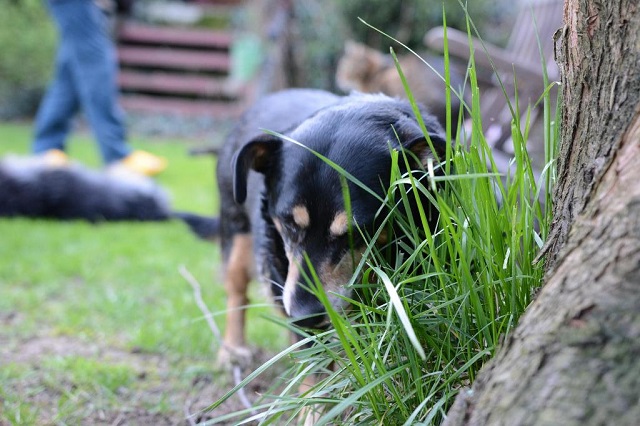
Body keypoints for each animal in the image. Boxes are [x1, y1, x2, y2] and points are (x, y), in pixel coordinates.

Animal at [215, 89, 448, 370]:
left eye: (357, 231)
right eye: (289, 223)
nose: (304, 316)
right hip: (236, 233)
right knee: (236, 292)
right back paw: (232, 349)